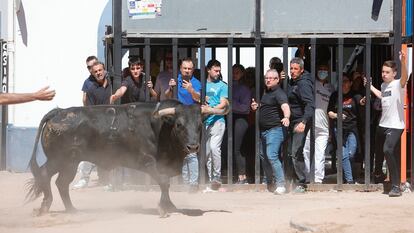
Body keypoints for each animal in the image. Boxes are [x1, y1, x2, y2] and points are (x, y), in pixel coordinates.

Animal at [26, 99, 226, 217]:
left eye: (199, 124)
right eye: (179, 124)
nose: (193, 146)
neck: (161, 127)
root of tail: (58, 112)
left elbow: (166, 184)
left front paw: (170, 206)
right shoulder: (148, 162)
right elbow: (163, 182)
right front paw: (163, 209)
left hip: (71, 163)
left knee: (61, 183)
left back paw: (72, 210)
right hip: (59, 160)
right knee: (45, 175)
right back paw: (44, 208)